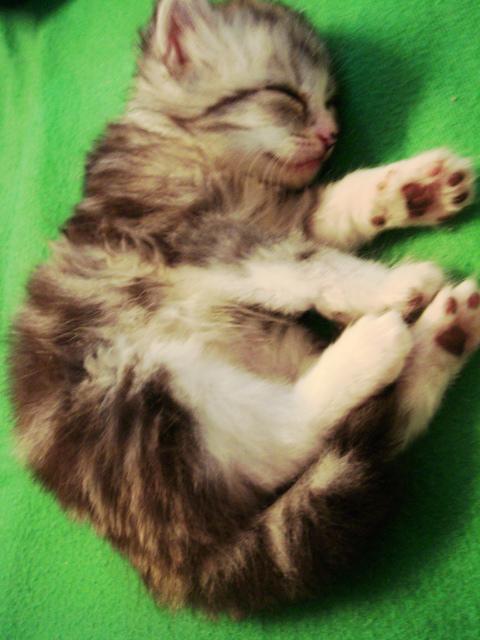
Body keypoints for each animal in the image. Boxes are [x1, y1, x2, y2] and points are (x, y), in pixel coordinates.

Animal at [9, 0, 478, 617]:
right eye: (285, 94)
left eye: (330, 101)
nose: (331, 134)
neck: (179, 139)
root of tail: (176, 562)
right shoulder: (198, 231)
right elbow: (304, 263)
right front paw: (386, 282)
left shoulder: (278, 214)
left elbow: (329, 213)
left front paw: (409, 189)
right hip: (133, 393)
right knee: (288, 436)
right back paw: (377, 341)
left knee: (377, 427)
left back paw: (447, 328)